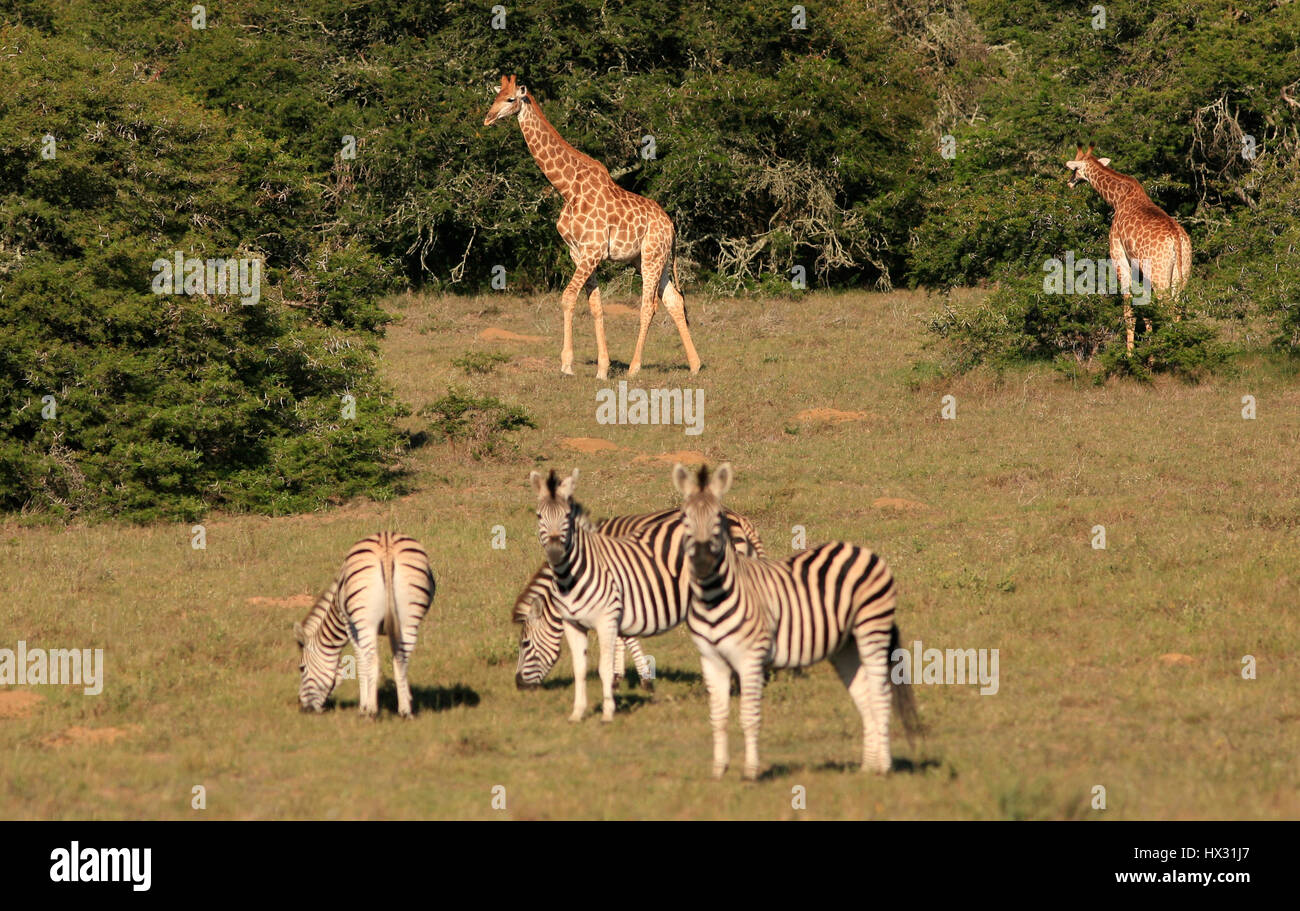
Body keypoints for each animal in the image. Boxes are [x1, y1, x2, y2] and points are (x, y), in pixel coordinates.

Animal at [294, 532, 436, 717]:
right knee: (401, 659)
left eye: (302, 668)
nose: (305, 710)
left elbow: (361, 664)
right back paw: (405, 711)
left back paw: (371, 712)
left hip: (365, 621)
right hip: (408, 619)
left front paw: (363, 706)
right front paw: (407, 698)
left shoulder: (350, 625)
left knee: (373, 661)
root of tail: (387, 545)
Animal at [483, 75, 701, 379]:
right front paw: (602, 368)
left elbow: (567, 298)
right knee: (674, 301)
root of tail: (671, 225)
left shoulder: (592, 251)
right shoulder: (579, 253)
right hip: (652, 259)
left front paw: (567, 365)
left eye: (510, 99)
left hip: (651, 257)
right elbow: (596, 306)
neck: (567, 188)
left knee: (649, 306)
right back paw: (694, 365)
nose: (488, 118)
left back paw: (634, 368)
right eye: (495, 97)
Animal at [512, 506, 768, 692]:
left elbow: (625, 636)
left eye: (525, 644)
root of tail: (740, 519)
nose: (518, 685)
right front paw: (618, 676)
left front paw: (641, 678)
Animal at [672, 462, 920, 779]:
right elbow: (717, 717)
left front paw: (750, 772)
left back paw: (884, 768)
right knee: (864, 696)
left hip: (872, 629)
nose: (703, 564)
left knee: (880, 694)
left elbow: (749, 716)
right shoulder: (711, 659)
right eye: (684, 518)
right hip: (846, 645)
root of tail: (860, 549)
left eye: (718, 519)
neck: (713, 597)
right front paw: (718, 771)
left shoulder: (750, 657)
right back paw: (867, 766)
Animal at [1065, 145, 1192, 352]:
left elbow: (1129, 312)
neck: (1117, 199)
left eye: (1074, 169)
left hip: (1160, 276)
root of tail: (1177, 240)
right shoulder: (1139, 267)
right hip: (1182, 273)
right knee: (1177, 310)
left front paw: (1130, 354)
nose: (1070, 183)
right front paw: (1148, 348)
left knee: (1167, 311)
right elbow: (1146, 310)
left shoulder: (1119, 257)